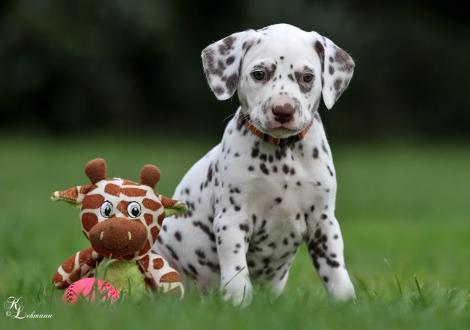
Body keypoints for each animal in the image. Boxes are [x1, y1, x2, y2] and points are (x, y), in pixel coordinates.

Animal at [155, 23, 356, 306]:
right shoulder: (232, 219)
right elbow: (237, 272)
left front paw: (346, 304)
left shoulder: (324, 222)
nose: (283, 110)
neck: (283, 155)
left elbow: (335, 271)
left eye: (307, 77)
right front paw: (238, 302)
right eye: (259, 74)